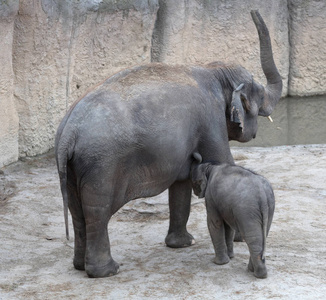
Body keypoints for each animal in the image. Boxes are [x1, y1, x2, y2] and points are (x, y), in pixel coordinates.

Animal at [54, 11, 282, 278]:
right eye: (259, 93)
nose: (254, 12)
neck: (213, 70)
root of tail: (69, 131)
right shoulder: (210, 120)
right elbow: (223, 162)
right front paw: (234, 238)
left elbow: (181, 184)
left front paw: (182, 244)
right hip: (101, 164)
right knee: (97, 212)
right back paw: (107, 271)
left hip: (73, 166)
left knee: (77, 212)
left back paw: (80, 266)